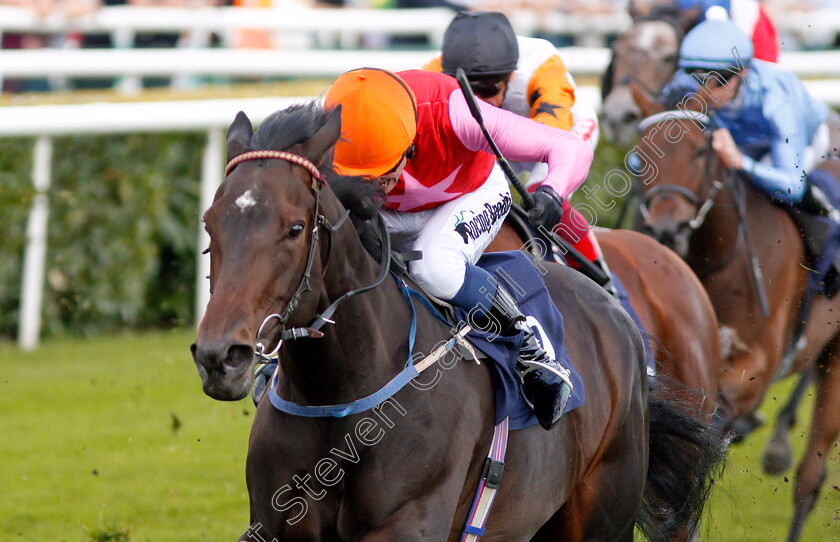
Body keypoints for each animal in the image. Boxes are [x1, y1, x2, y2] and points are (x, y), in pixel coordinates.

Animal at [190, 103, 720, 542]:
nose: (220, 357)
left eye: (295, 228)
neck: (340, 396)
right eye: (209, 224)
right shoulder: (274, 524)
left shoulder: (408, 521)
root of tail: (614, 310)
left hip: (602, 512)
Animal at [632, 98, 840, 542]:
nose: (667, 228)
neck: (718, 260)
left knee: (809, 478)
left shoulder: (755, 366)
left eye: (699, 151)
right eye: (641, 156)